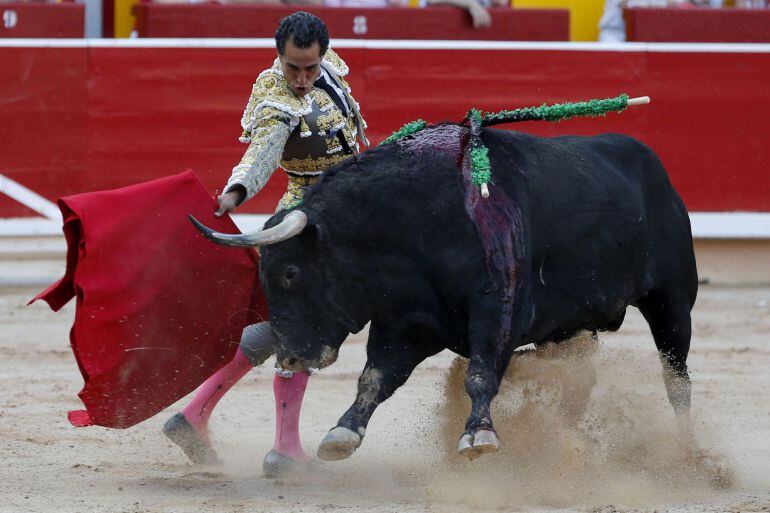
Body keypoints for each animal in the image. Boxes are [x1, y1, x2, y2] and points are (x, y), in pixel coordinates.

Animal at [190, 124, 696, 460]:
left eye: (292, 272)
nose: (292, 356)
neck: (416, 222)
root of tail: (654, 166)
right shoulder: (404, 322)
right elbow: (375, 377)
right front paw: (342, 433)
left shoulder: (498, 310)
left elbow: (480, 374)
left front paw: (479, 436)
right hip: (573, 325)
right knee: (576, 381)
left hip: (673, 303)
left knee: (676, 377)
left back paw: (688, 450)